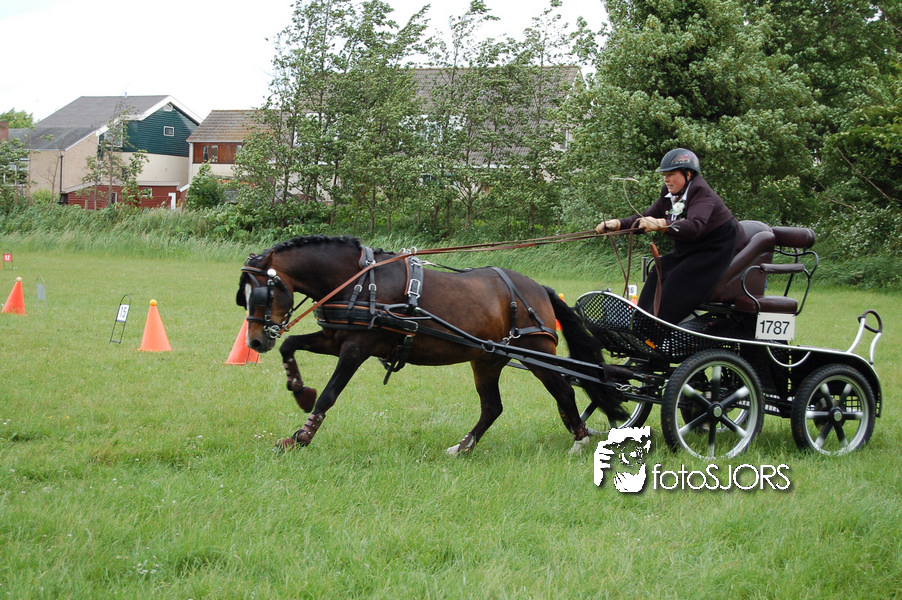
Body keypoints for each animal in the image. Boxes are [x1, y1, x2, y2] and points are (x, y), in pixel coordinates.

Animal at [236, 234, 627, 454]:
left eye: (262, 292)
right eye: (243, 296)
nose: (254, 340)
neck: (361, 281)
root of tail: (537, 288)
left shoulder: (357, 347)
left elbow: (330, 394)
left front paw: (300, 437)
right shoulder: (335, 337)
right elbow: (290, 347)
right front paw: (298, 389)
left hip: (536, 353)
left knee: (564, 390)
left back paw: (579, 439)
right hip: (487, 359)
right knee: (493, 407)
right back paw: (464, 446)